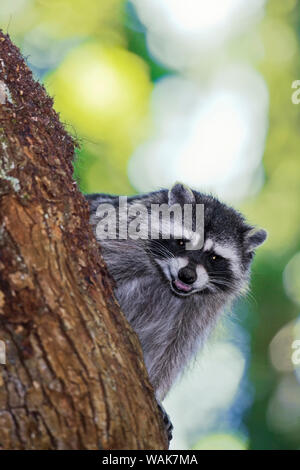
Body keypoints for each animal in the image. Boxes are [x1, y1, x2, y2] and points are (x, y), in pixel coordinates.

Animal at [85, 182, 266, 438]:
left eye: (213, 257)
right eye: (182, 243)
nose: (187, 276)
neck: (166, 281)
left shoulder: (202, 310)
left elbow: (174, 349)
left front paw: (156, 393)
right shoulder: (118, 237)